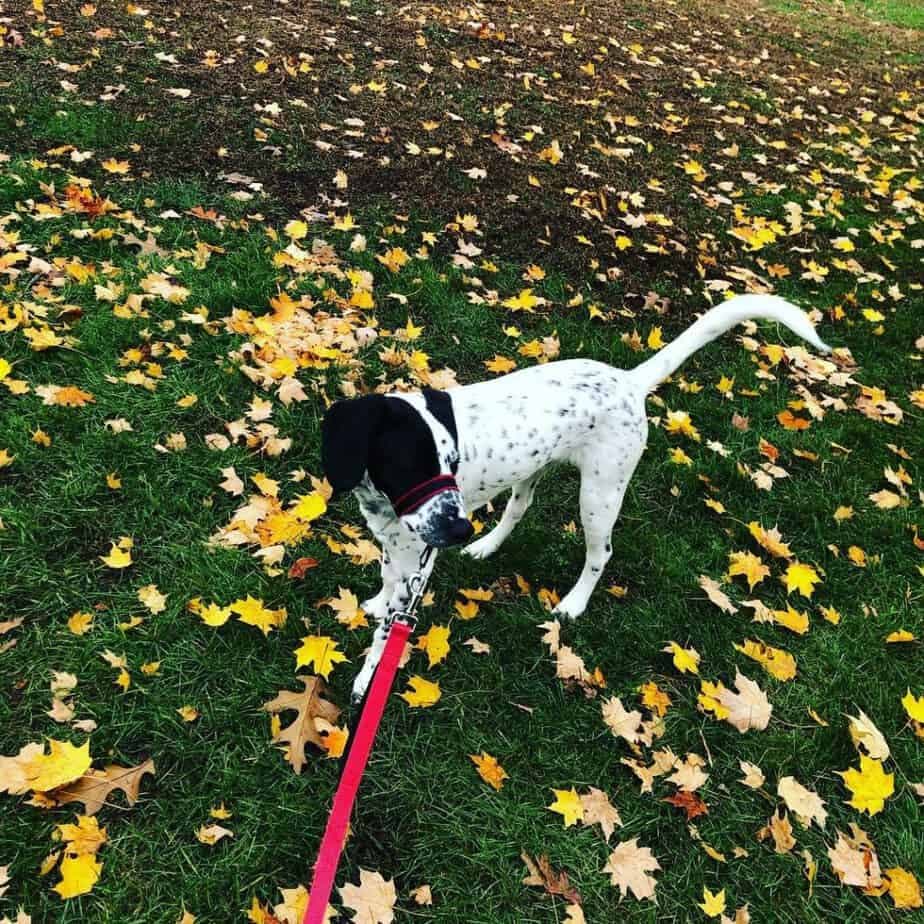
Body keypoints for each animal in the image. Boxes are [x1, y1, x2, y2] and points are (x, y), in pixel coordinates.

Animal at [324, 296, 832, 700]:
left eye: (453, 462)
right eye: (411, 464)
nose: (461, 528)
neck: (383, 500)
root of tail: (630, 381)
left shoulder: (417, 556)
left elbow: (386, 631)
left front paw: (366, 680)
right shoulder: (396, 545)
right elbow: (387, 588)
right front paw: (375, 602)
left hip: (599, 495)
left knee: (600, 553)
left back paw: (572, 602)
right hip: (532, 472)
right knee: (519, 509)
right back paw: (486, 546)